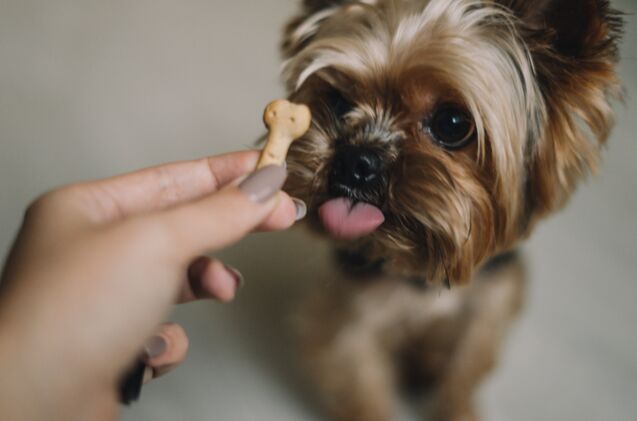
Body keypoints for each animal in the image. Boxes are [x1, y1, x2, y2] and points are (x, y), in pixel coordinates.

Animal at [276, 1, 620, 418]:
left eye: (453, 123)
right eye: (339, 102)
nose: (355, 160)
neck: (420, 272)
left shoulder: (489, 306)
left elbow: (464, 371)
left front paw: (458, 409)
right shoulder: (352, 320)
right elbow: (362, 384)